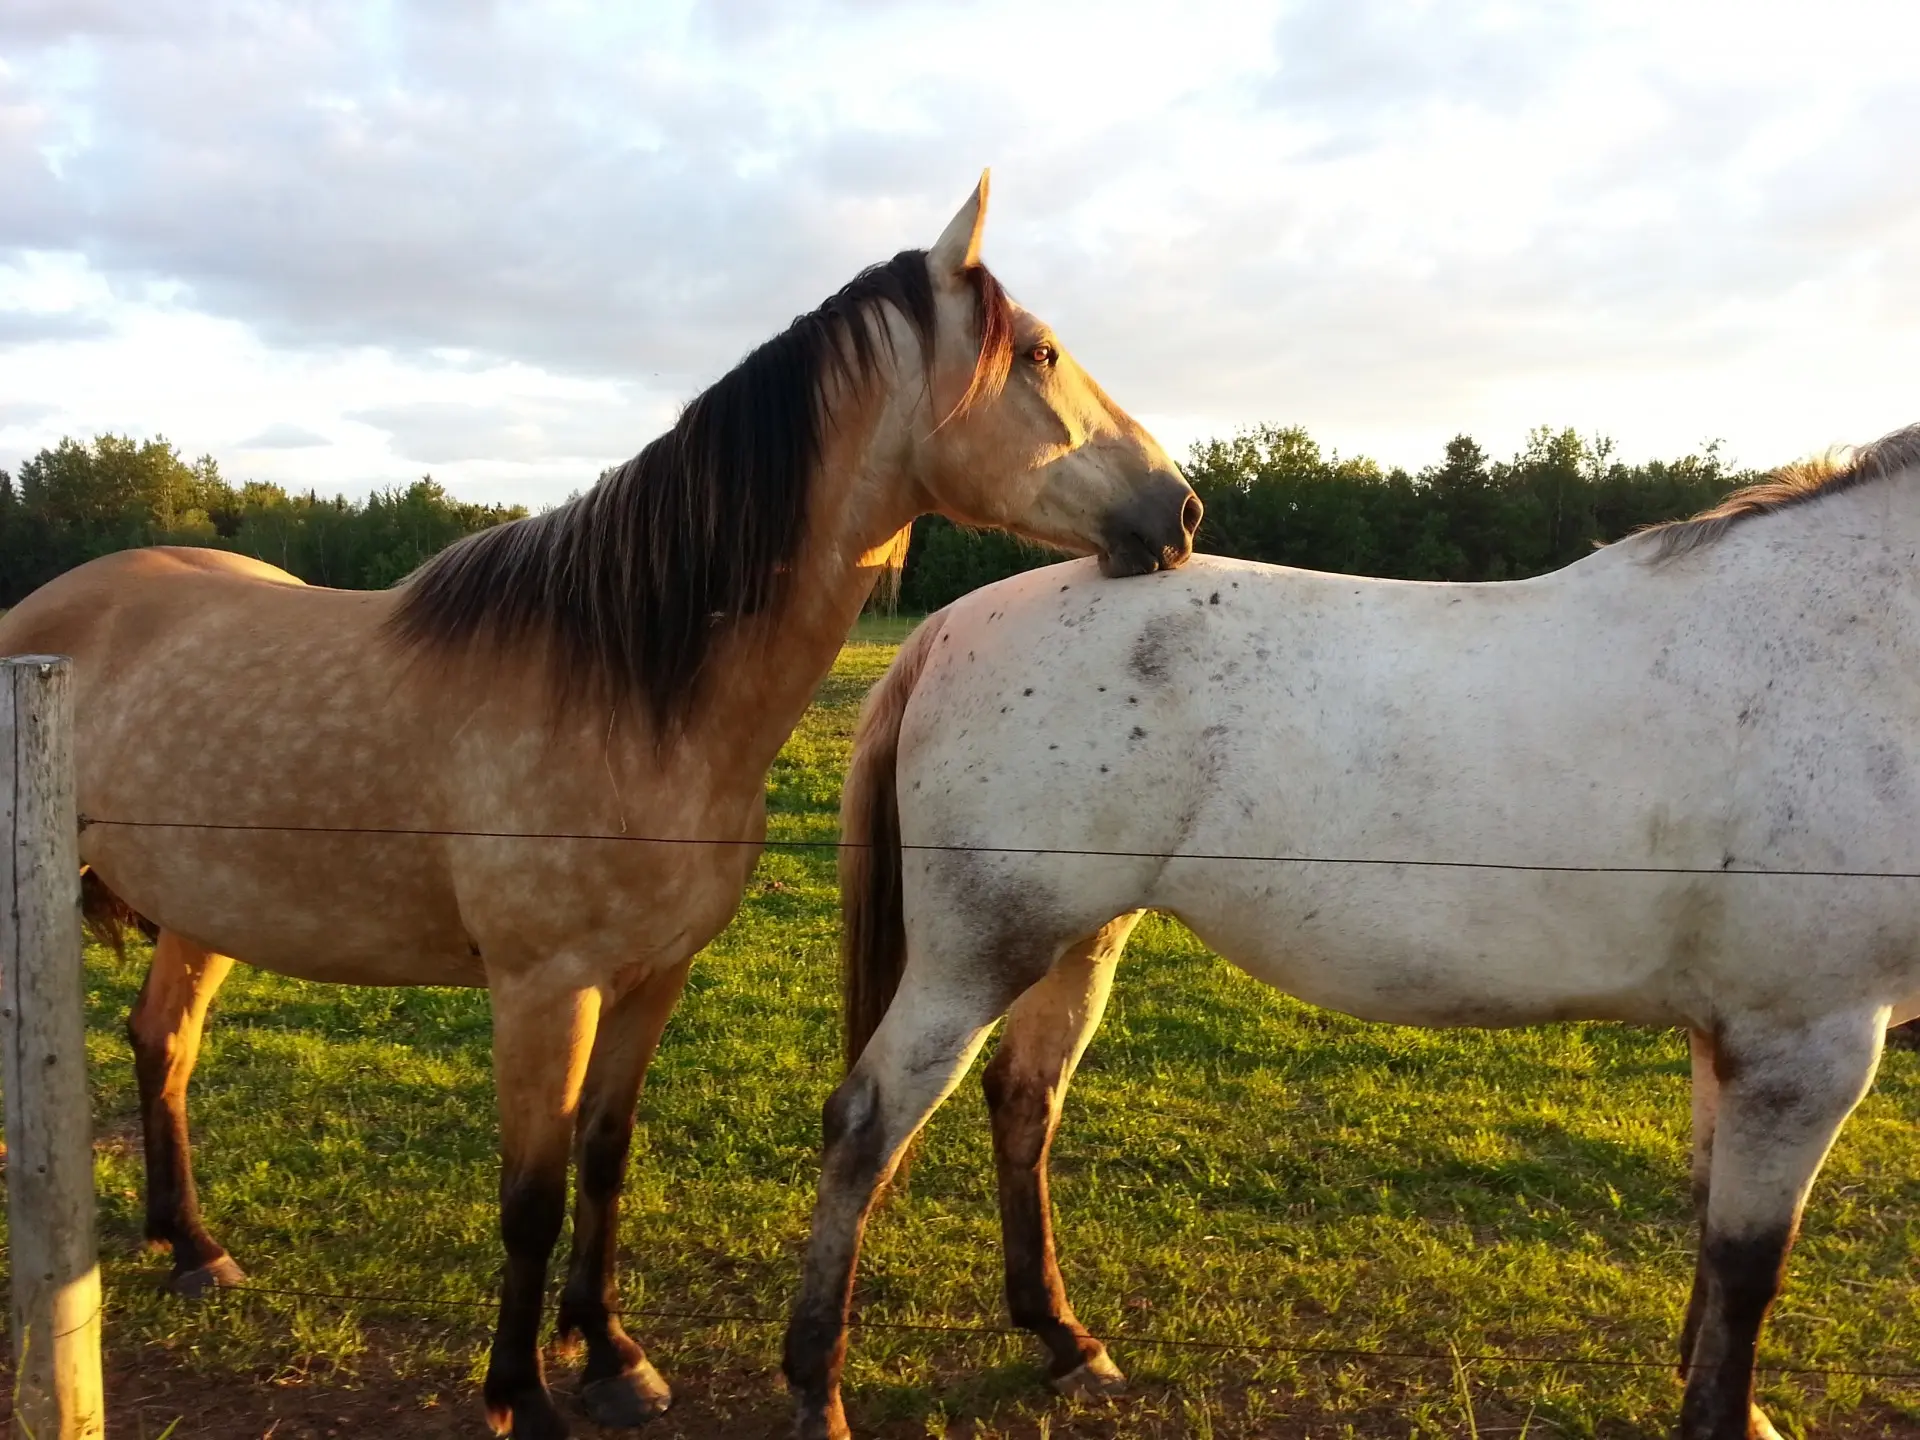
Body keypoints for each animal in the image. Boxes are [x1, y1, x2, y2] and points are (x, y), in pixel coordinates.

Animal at [779, 426, 1920, 1440]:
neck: (1844, 650)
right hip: (979, 952)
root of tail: (949, 624)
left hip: (1079, 937)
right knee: (867, 1124)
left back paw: (1065, 1340)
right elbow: (1750, 1260)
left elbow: (1711, 1225)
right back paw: (816, 1391)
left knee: (1023, 1102)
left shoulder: (1732, 1036)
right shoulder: (1807, 1044)